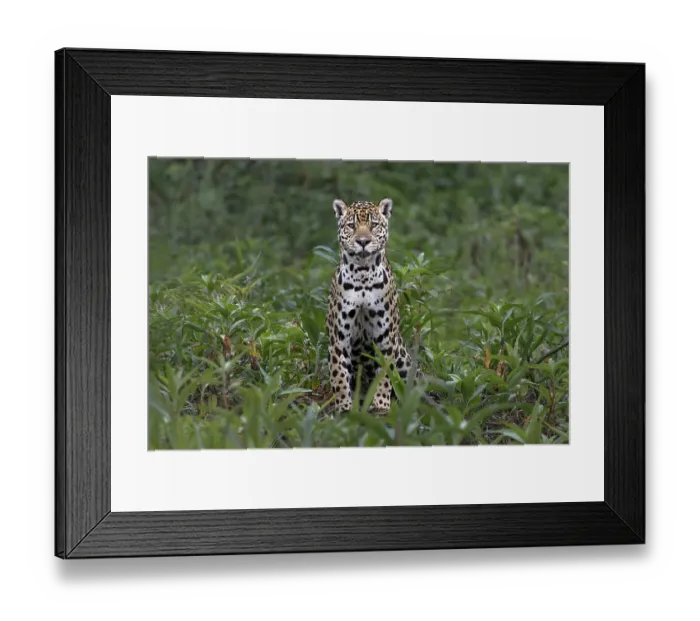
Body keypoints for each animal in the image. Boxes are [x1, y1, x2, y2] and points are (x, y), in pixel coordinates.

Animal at [325, 197, 416, 414]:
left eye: (374, 225)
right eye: (351, 226)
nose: (363, 241)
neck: (363, 273)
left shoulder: (385, 337)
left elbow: (385, 373)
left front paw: (381, 404)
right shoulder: (339, 338)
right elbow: (339, 374)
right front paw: (344, 407)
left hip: (403, 356)